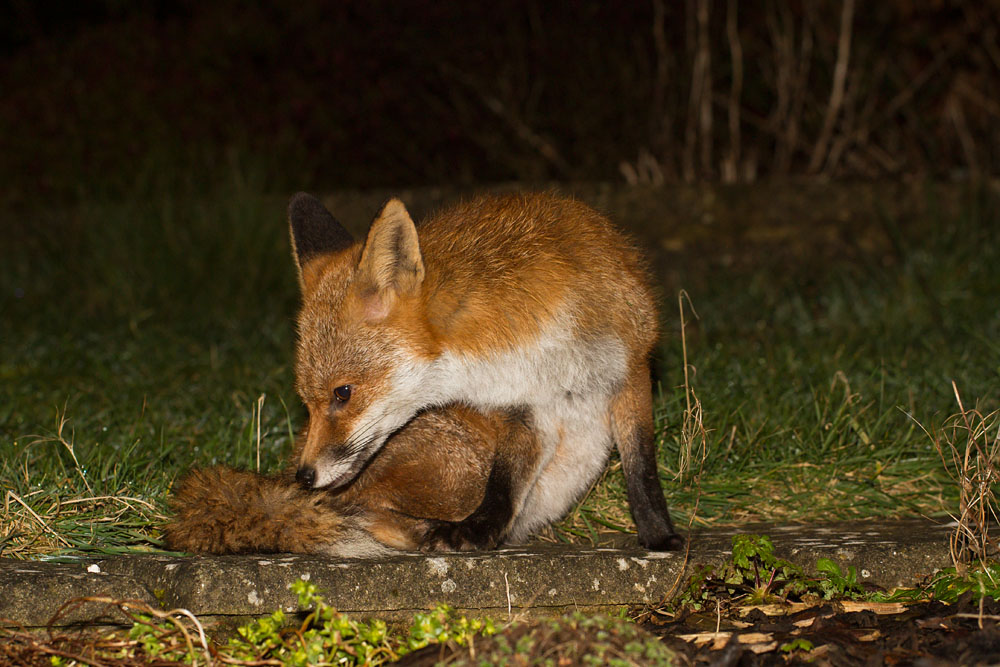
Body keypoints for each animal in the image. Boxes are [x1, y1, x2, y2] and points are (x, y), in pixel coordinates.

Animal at [288, 190, 682, 552]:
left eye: (343, 393)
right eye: (305, 402)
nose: (304, 477)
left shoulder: (631, 363)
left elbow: (642, 466)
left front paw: (659, 535)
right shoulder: (521, 408)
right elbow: (506, 481)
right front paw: (479, 530)